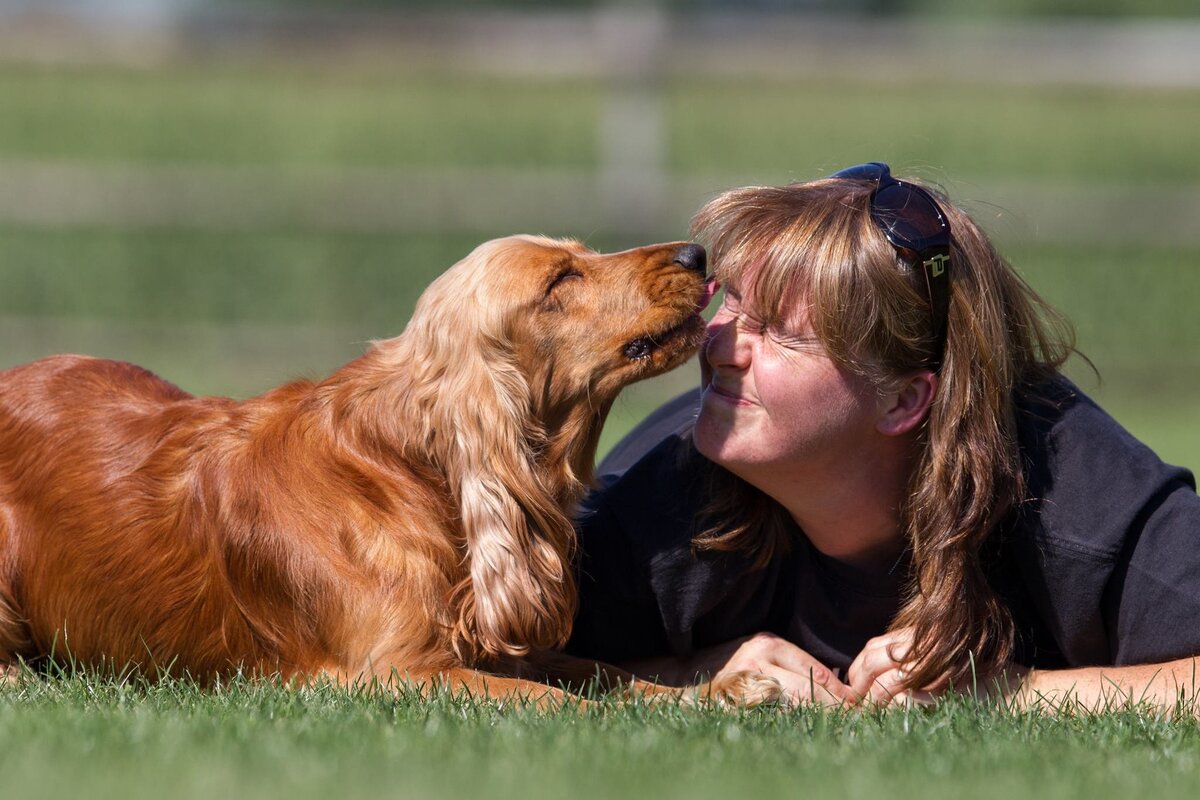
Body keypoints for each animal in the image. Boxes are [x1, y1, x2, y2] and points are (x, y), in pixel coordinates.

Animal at [0, 236, 777, 705]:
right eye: (562, 278)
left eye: (582, 254)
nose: (696, 250)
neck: (417, 471)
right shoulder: (387, 672)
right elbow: (558, 703)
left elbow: (607, 676)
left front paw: (715, 694)